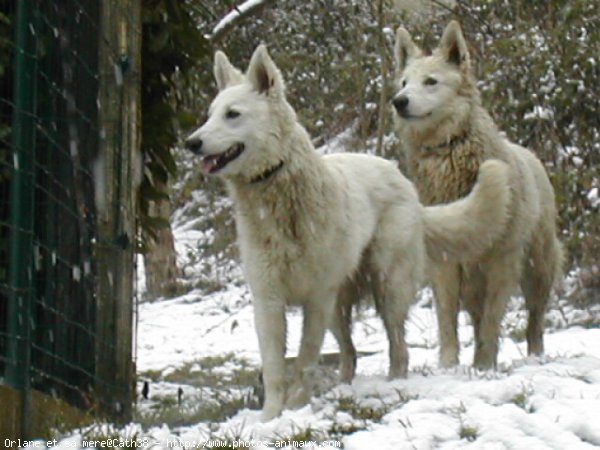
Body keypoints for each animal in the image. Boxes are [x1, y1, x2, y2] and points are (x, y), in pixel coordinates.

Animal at [186, 44, 510, 420]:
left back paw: (393, 383)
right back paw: (342, 387)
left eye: (233, 114)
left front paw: (296, 409)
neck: (279, 196)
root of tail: (405, 184)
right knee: (350, 354)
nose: (191, 142)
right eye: (209, 115)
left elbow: (306, 359)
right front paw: (270, 418)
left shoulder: (316, 298)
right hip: (337, 308)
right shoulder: (268, 300)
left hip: (386, 288)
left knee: (398, 347)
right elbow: (275, 368)